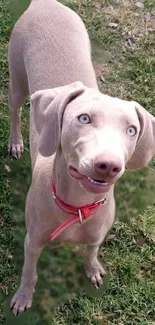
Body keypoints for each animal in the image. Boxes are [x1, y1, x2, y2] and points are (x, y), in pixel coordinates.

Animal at [8, 0, 155, 316]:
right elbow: (29, 272)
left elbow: (91, 251)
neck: (77, 206)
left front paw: (93, 269)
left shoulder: (97, 234)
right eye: (84, 118)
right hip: (17, 77)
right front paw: (23, 298)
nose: (108, 165)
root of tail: (46, 3)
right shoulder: (32, 241)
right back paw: (15, 142)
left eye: (131, 129)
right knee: (14, 110)